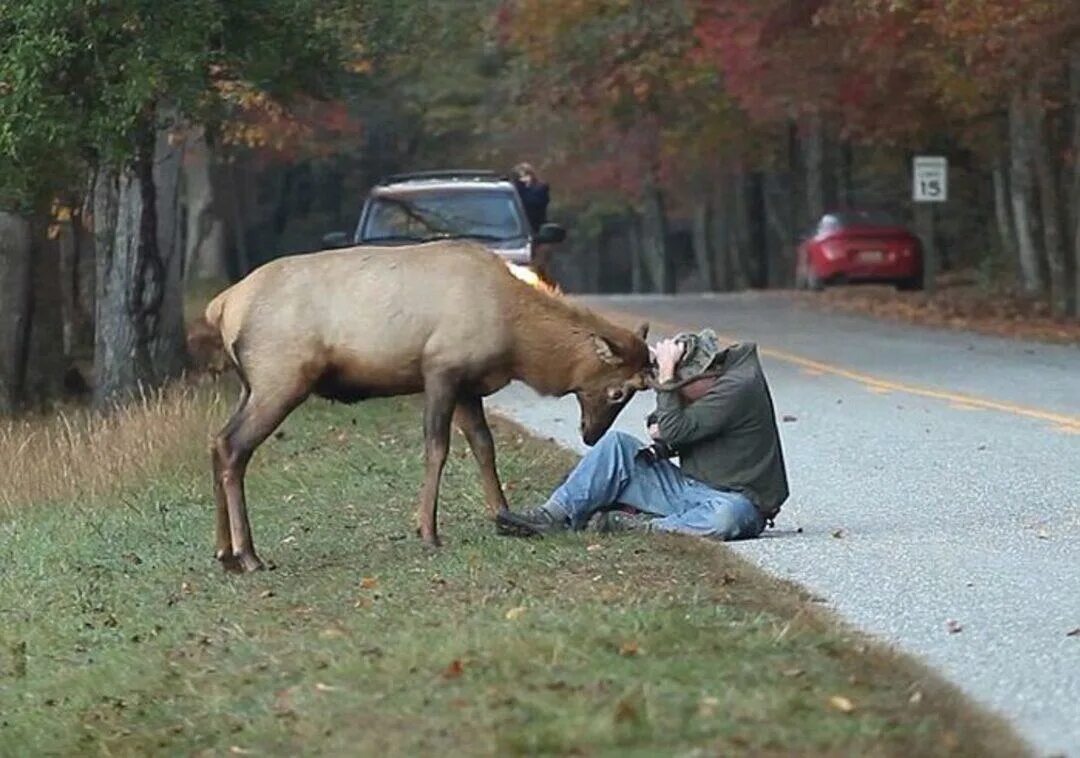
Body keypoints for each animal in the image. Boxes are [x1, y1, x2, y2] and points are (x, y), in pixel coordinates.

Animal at [206, 240, 652, 574]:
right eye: (619, 391)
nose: (591, 435)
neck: (516, 342)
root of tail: (222, 307)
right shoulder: (441, 369)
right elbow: (437, 448)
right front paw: (428, 532)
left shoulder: (469, 386)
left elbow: (484, 446)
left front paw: (504, 516)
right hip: (279, 379)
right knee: (234, 447)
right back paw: (248, 555)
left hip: (251, 386)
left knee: (217, 442)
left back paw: (225, 553)